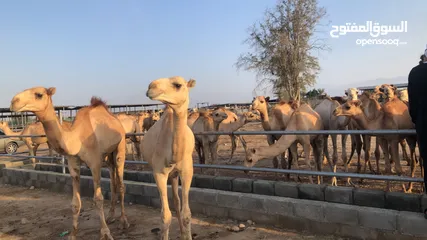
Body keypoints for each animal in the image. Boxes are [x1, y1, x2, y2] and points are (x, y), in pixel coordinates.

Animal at [9, 87, 129, 239]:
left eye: (39, 94)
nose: (13, 102)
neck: (76, 139)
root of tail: (116, 120)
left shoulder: (95, 163)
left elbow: (98, 199)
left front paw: (106, 233)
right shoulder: (73, 164)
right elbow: (75, 203)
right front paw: (72, 235)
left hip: (120, 147)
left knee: (121, 184)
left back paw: (124, 221)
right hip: (108, 155)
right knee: (113, 182)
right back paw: (111, 216)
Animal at [144, 77, 197, 240]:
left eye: (178, 85)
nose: (151, 87)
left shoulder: (187, 171)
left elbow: (187, 214)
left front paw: (187, 235)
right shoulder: (159, 172)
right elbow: (165, 216)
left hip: (174, 175)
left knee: (176, 201)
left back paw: (182, 232)